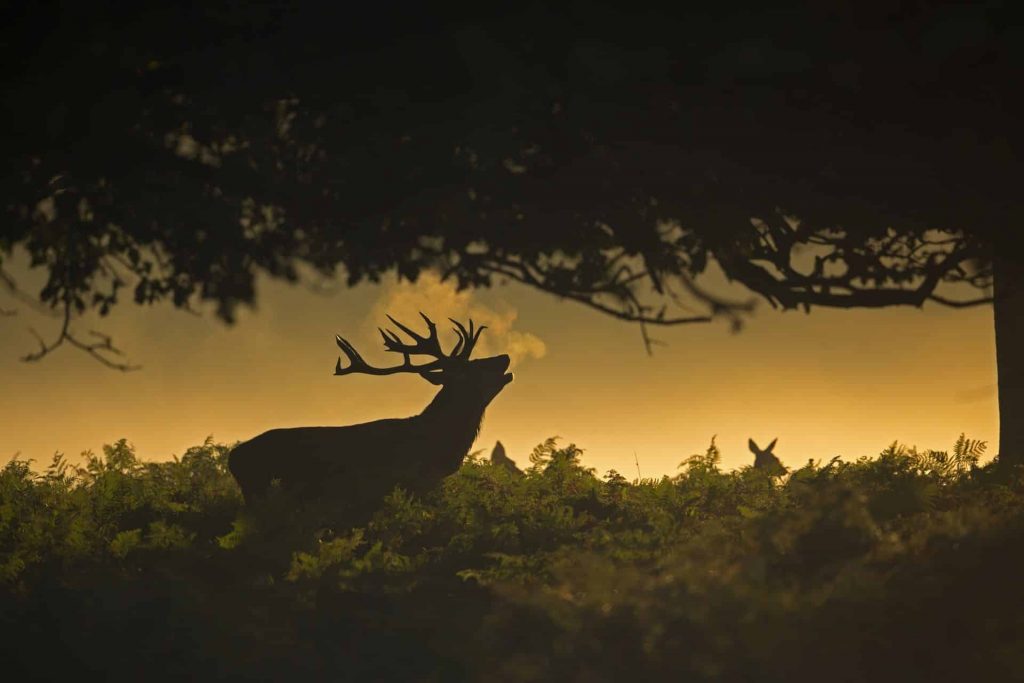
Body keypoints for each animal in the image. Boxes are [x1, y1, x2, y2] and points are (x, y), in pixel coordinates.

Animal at [228, 313, 513, 520]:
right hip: (260, 490)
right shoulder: (403, 484)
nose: (505, 357)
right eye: (471, 368)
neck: (435, 446)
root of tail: (233, 458)